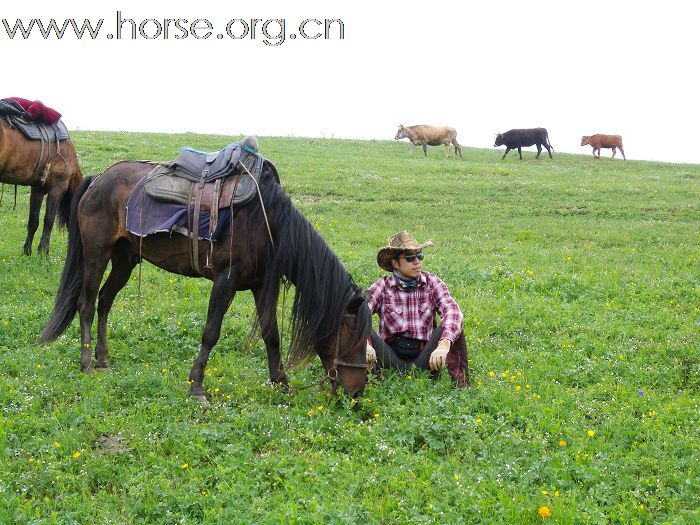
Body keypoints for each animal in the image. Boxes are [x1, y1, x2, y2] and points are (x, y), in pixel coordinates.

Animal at [0, 117, 82, 256]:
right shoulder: (58, 187)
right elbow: (48, 220)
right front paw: (43, 251)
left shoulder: (37, 190)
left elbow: (33, 221)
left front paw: (27, 252)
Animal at [39, 158, 372, 400]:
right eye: (353, 337)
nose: (357, 392)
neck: (269, 225)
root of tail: (98, 179)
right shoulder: (226, 281)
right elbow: (211, 332)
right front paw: (196, 386)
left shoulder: (263, 285)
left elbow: (271, 334)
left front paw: (281, 383)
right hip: (97, 253)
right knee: (86, 304)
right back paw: (86, 364)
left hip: (125, 259)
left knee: (105, 301)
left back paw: (103, 360)